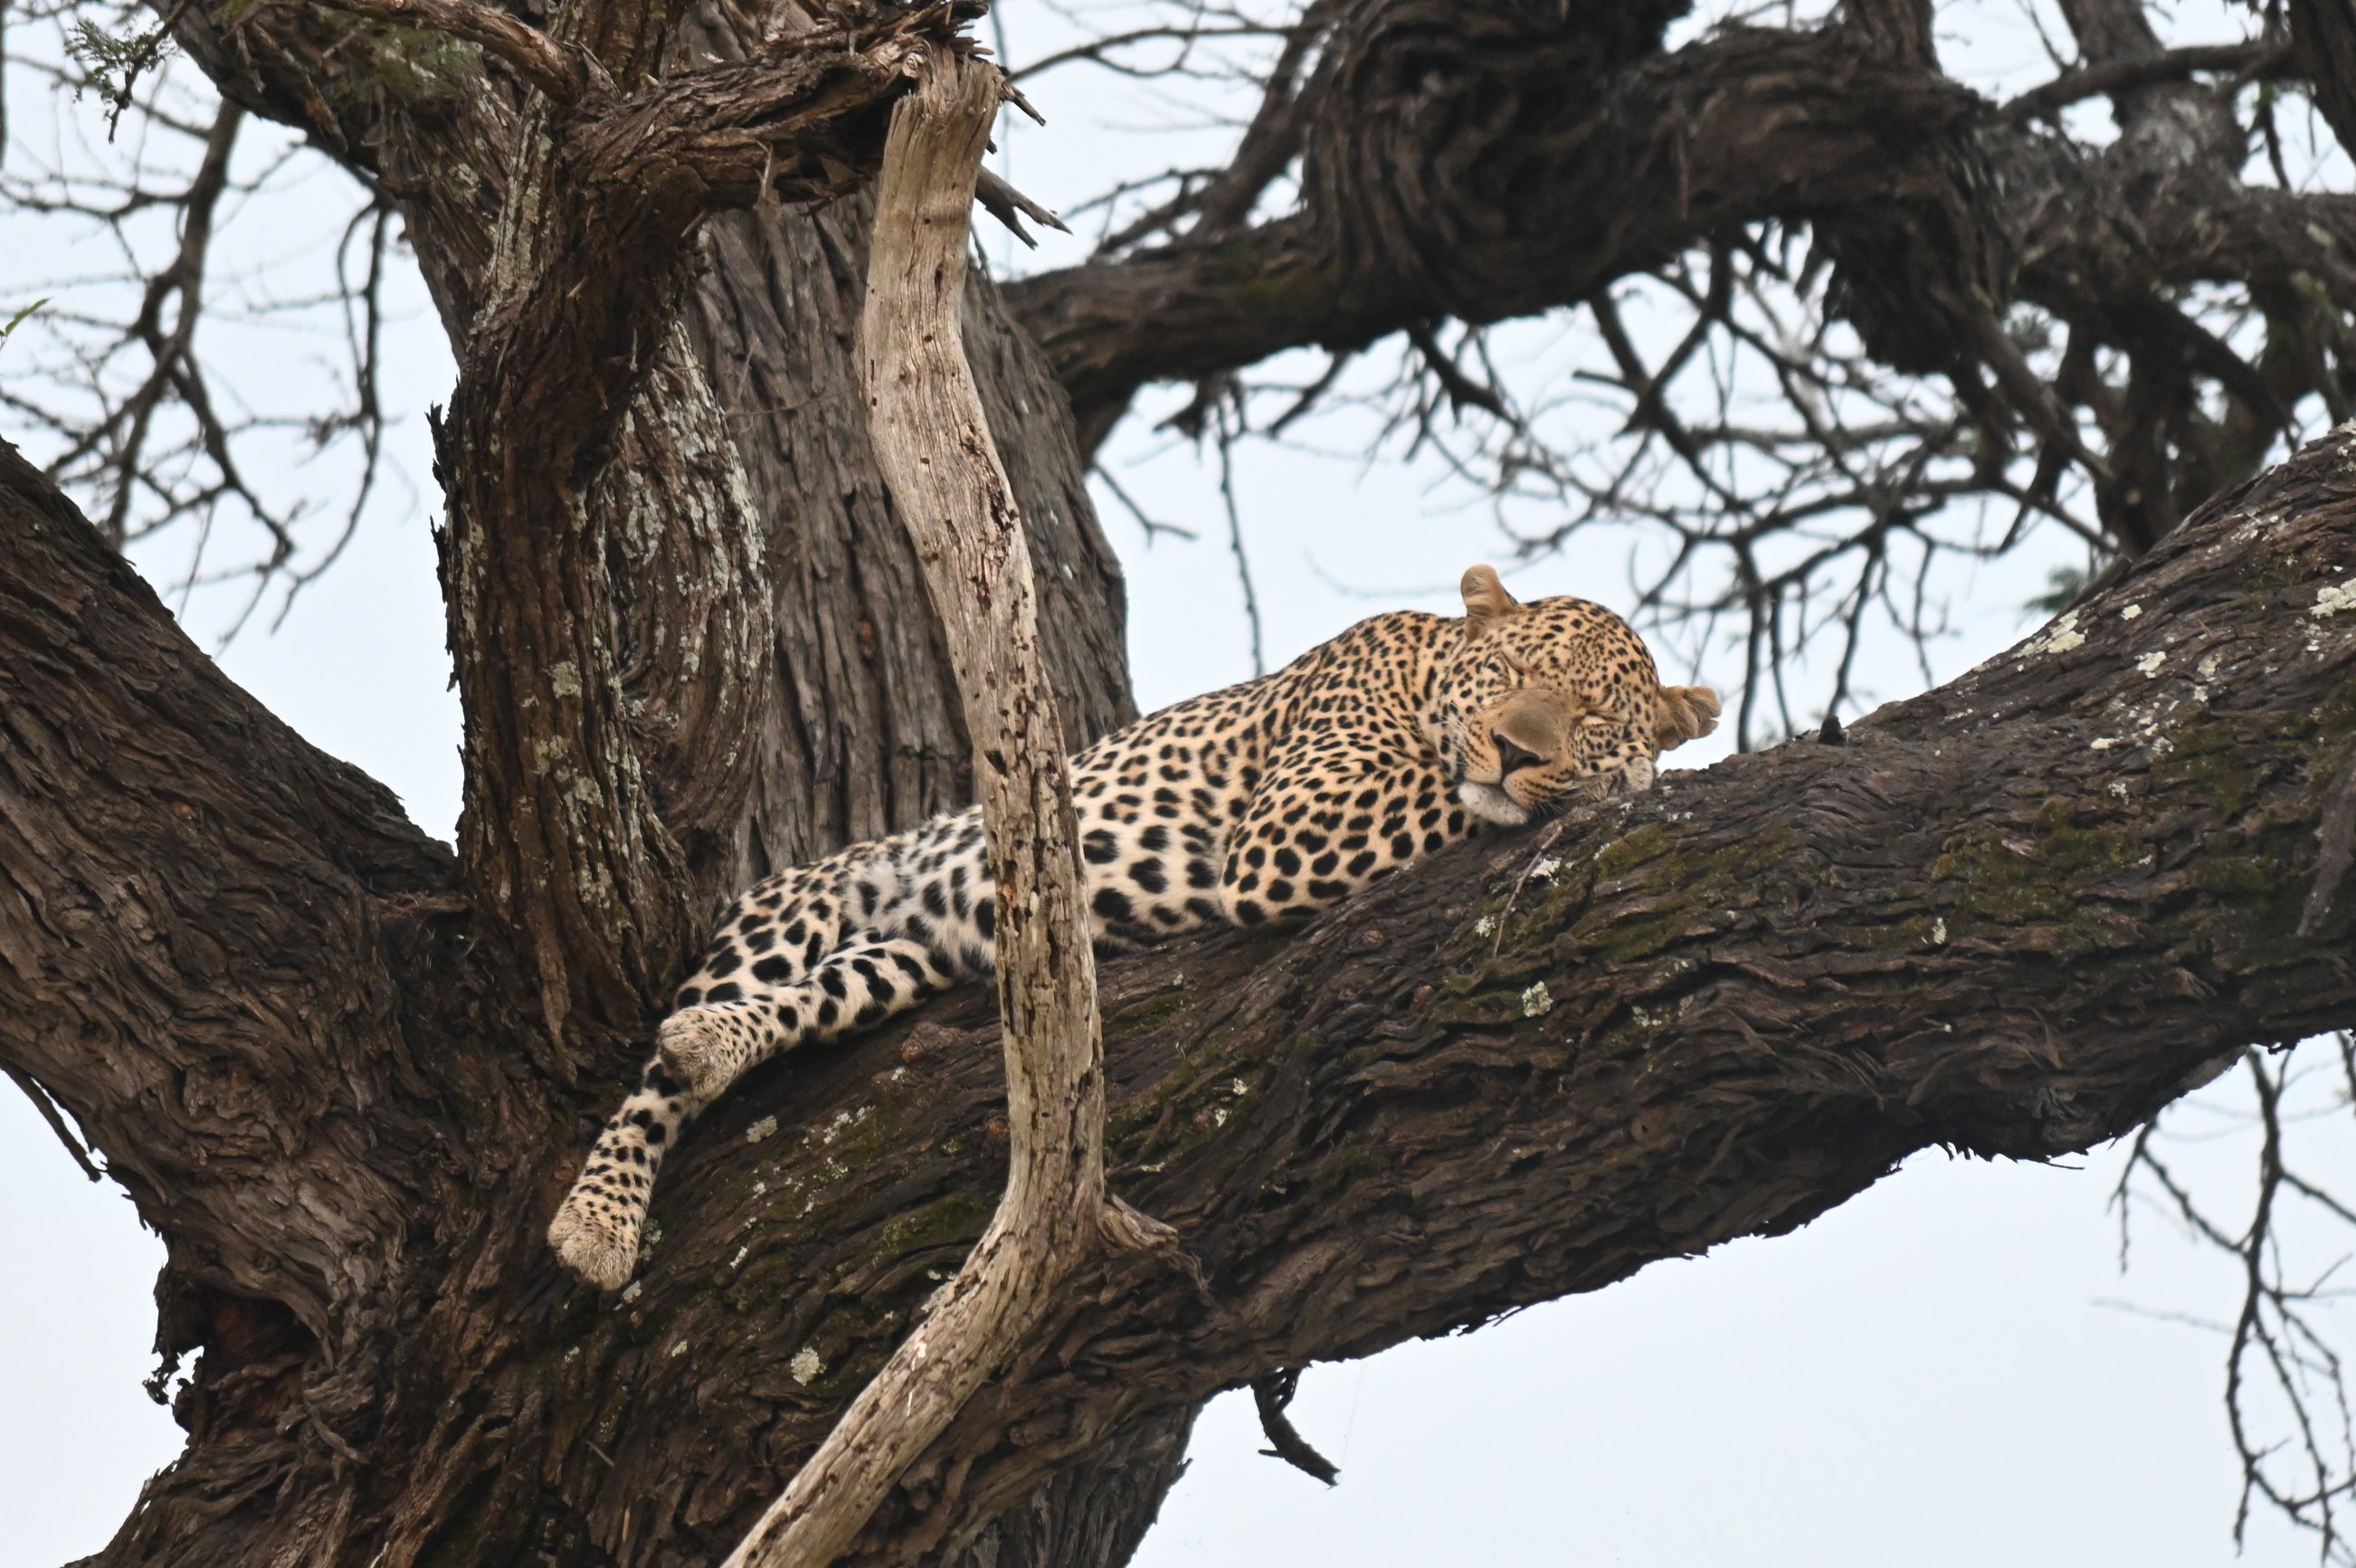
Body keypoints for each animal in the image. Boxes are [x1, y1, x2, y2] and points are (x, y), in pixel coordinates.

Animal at [547, 565, 1720, 1289]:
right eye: (1513, 676)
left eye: (1589, 711)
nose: (1519, 750)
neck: (1426, 665)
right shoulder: (1298, 824)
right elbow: (1451, 791)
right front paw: (1630, 773)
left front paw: (1633, 758)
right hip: (789, 909)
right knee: (652, 1084)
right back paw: (599, 1219)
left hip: (898, 961)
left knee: (778, 1011)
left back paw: (713, 1045)